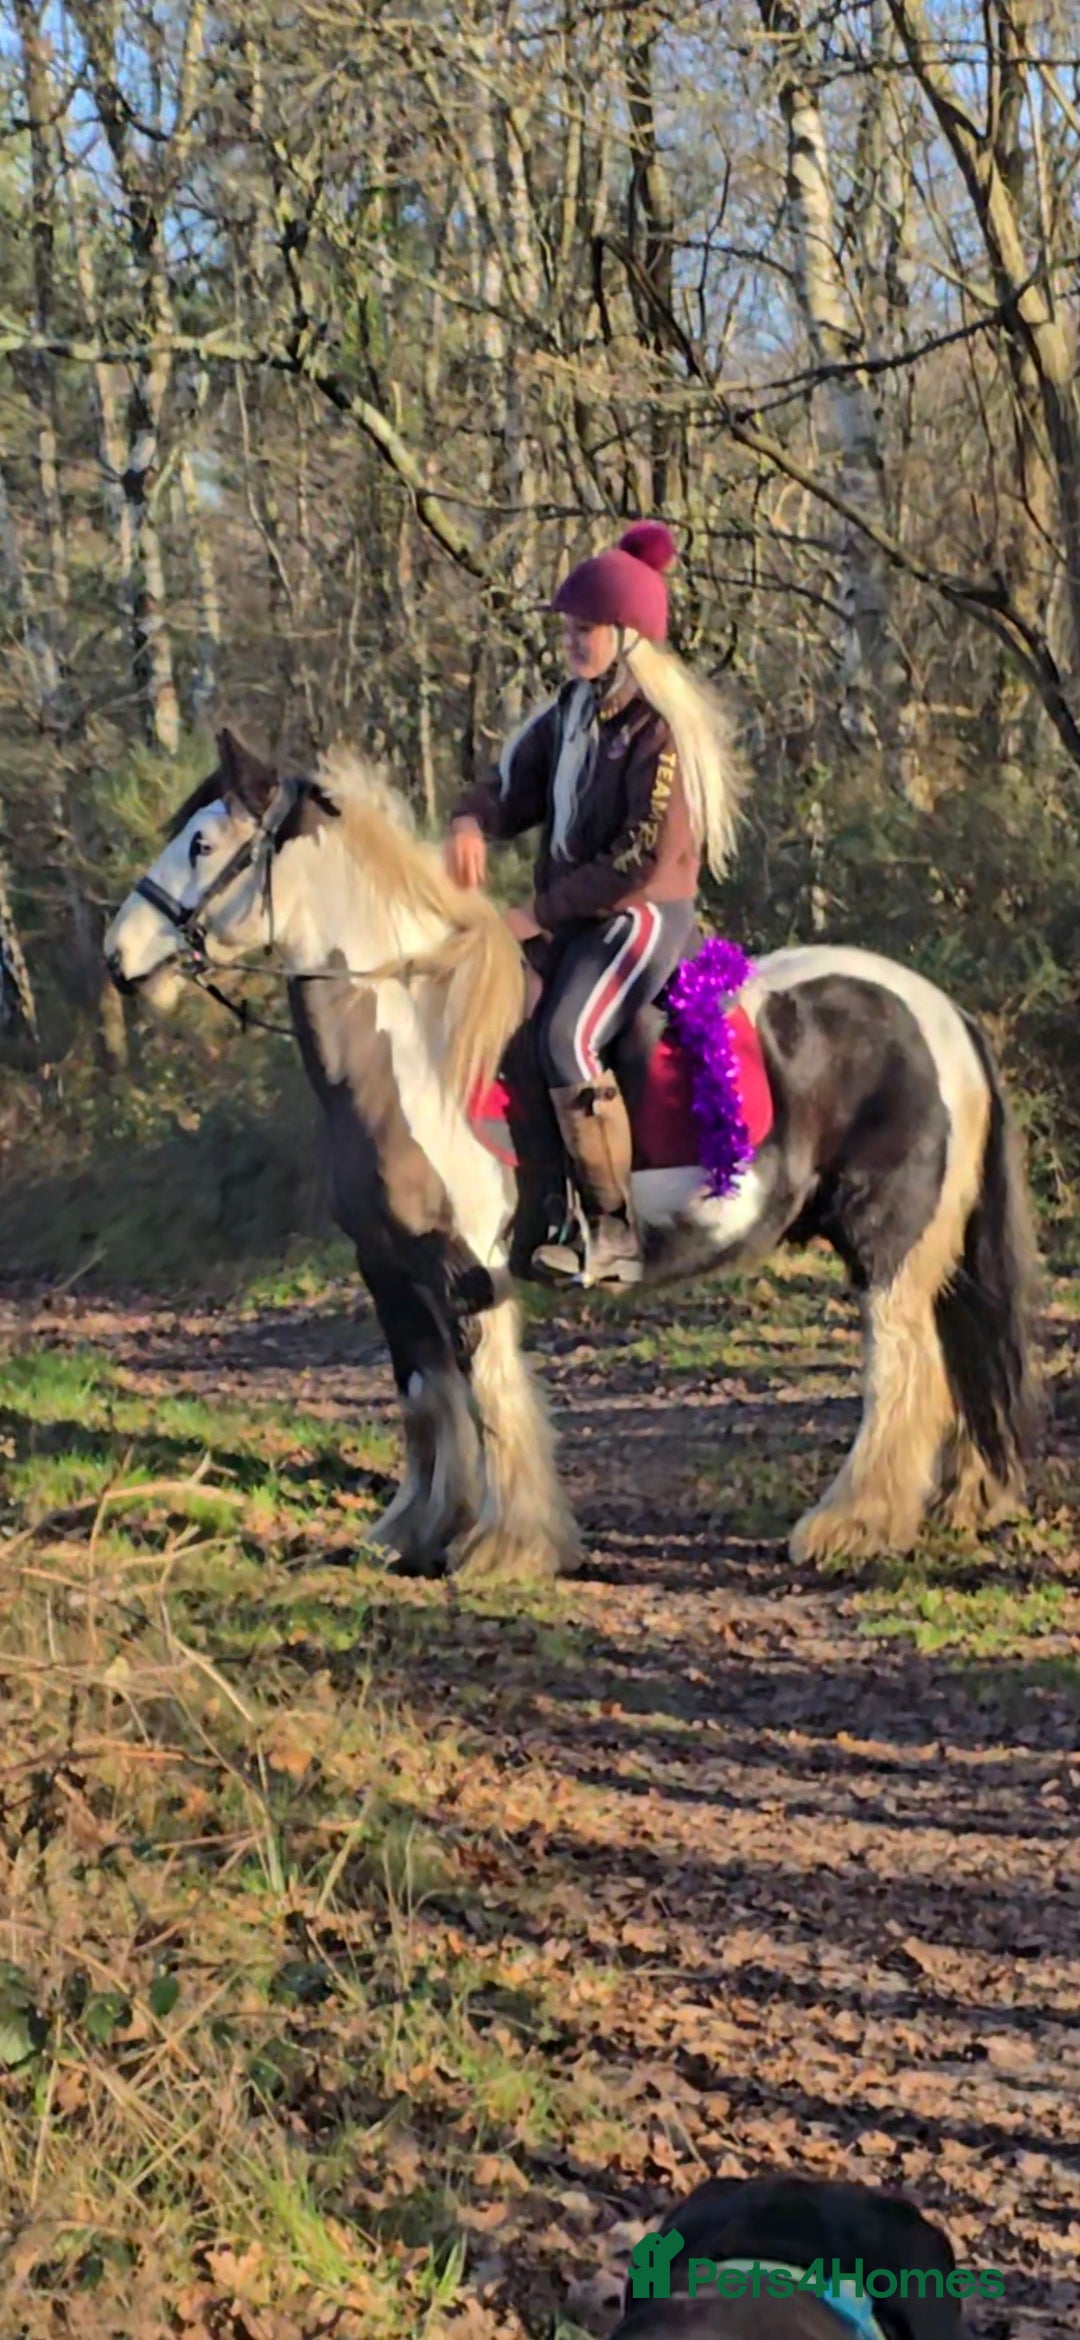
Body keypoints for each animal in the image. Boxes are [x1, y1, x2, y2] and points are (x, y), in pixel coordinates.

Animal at [103, 727, 1041, 1585]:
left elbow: (491, 1398)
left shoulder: (466, 1269)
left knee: (903, 1370)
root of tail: (942, 1012)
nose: (119, 957)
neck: (418, 1036)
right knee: (950, 1359)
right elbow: (426, 1399)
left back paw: (852, 1524)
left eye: (201, 843)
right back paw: (958, 1500)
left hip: (888, 1242)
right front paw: (412, 1533)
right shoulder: (390, 1268)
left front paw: (507, 1545)